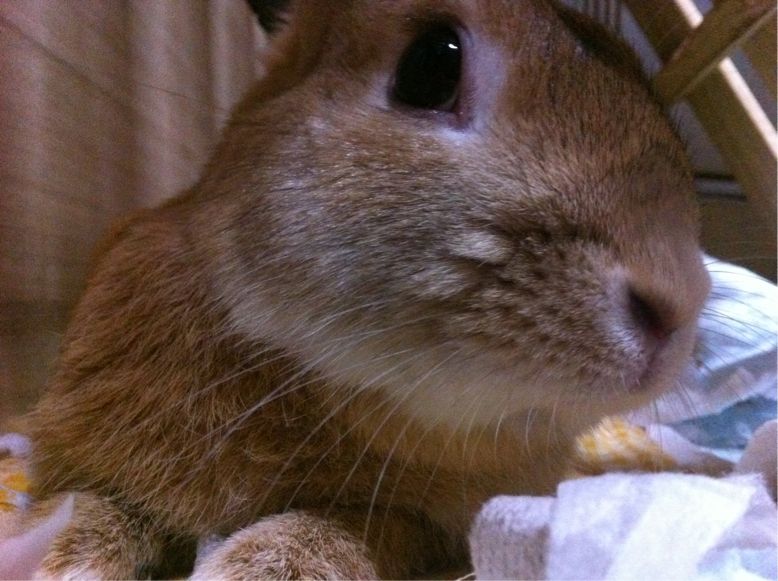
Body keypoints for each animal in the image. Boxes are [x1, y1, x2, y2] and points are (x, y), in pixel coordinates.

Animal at [20, 0, 711, 578]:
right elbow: (88, 507)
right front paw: (56, 560)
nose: (680, 301)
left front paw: (247, 568)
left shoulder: (423, 527)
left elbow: (340, 527)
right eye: (430, 67)